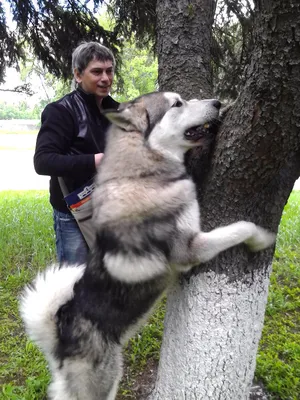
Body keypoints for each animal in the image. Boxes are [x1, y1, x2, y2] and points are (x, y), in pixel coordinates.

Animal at [19, 92, 276, 398]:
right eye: (177, 104)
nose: (216, 103)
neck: (143, 175)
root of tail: (60, 334)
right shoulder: (190, 248)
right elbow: (241, 227)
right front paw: (262, 238)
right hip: (104, 382)